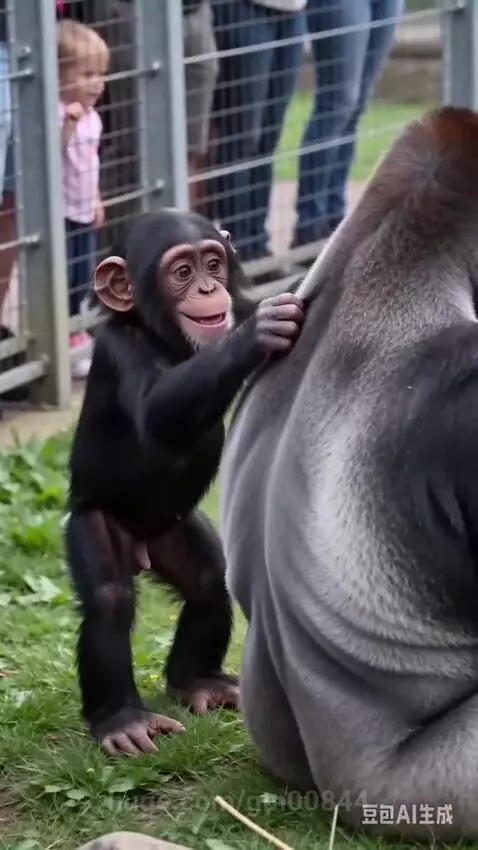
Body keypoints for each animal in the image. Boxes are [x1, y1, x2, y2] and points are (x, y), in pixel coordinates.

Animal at [64, 208, 305, 757]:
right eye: (181, 272)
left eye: (213, 263)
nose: (207, 288)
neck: (168, 341)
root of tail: (142, 546)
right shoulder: (121, 350)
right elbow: (159, 412)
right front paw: (261, 332)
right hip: (94, 521)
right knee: (109, 599)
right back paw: (122, 720)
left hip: (174, 533)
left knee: (210, 582)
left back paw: (198, 681)